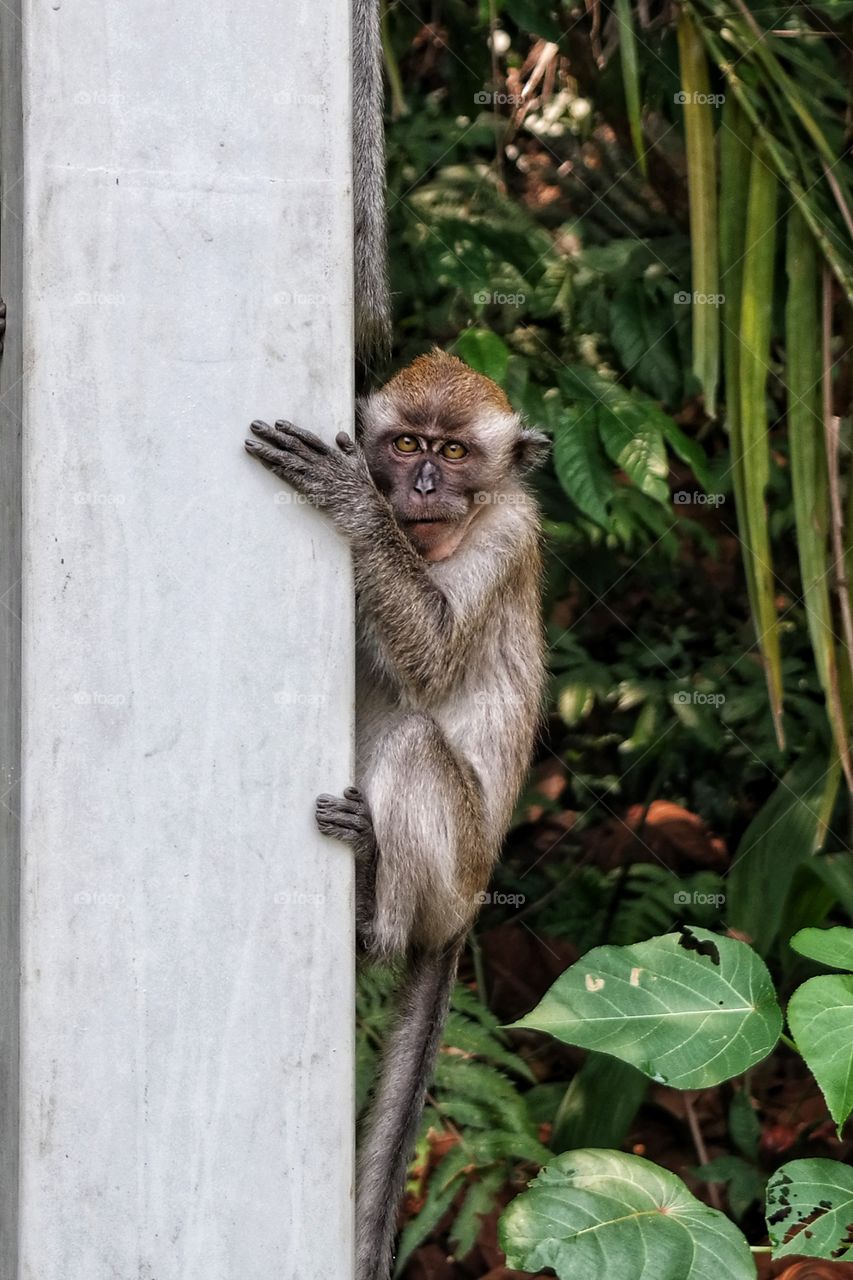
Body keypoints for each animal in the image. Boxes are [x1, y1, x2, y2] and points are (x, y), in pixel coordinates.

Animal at [244, 348, 547, 1280]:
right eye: (407, 442)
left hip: (453, 869)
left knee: (414, 739)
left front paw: (355, 506)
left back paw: (375, 908)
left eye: (452, 454)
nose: (417, 485)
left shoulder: (505, 535)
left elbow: (437, 654)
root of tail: (470, 903)